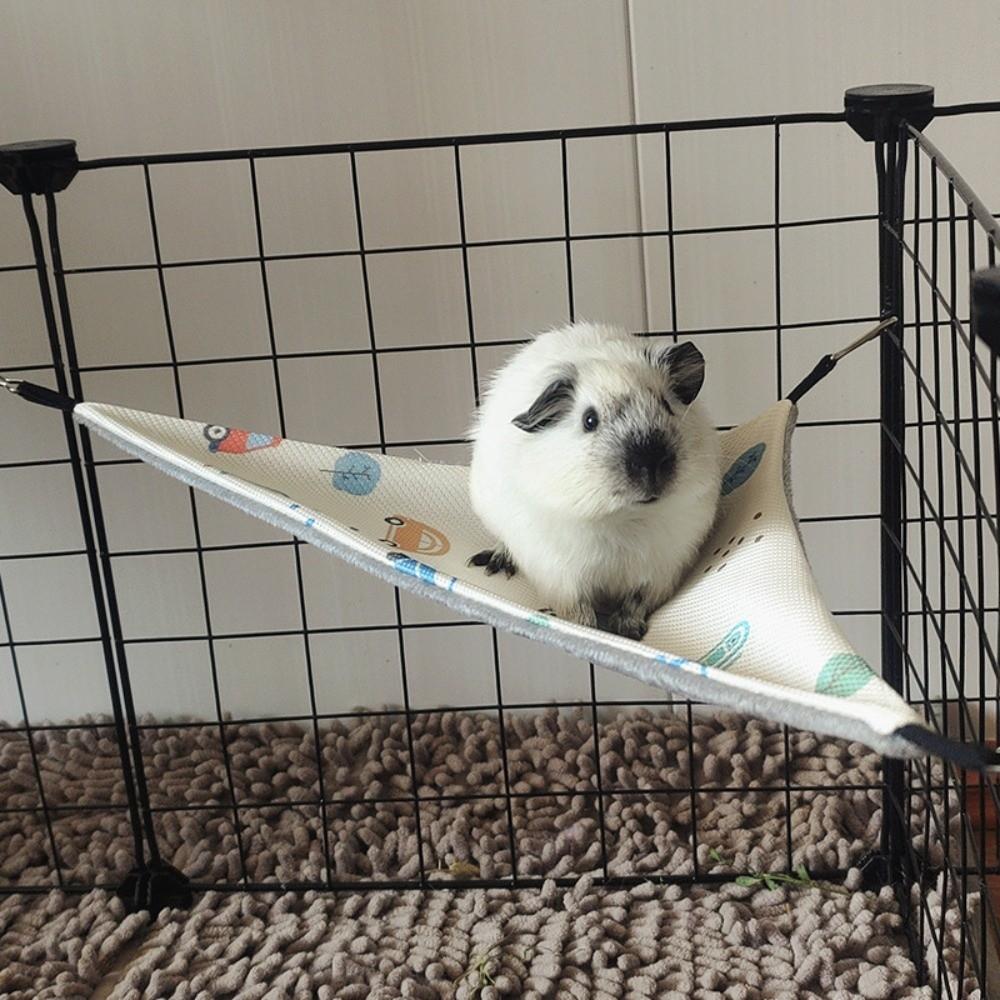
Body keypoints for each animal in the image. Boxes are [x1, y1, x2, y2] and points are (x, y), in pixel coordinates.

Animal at [468, 322, 721, 639]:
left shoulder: (661, 570)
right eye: (589, 420)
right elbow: (576, 611)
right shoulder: (559, 575)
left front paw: (628, 632)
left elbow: (636, 603)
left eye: (666, 404)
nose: (650, 462)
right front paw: (589, 630)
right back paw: (492, 563)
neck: (625, 519)